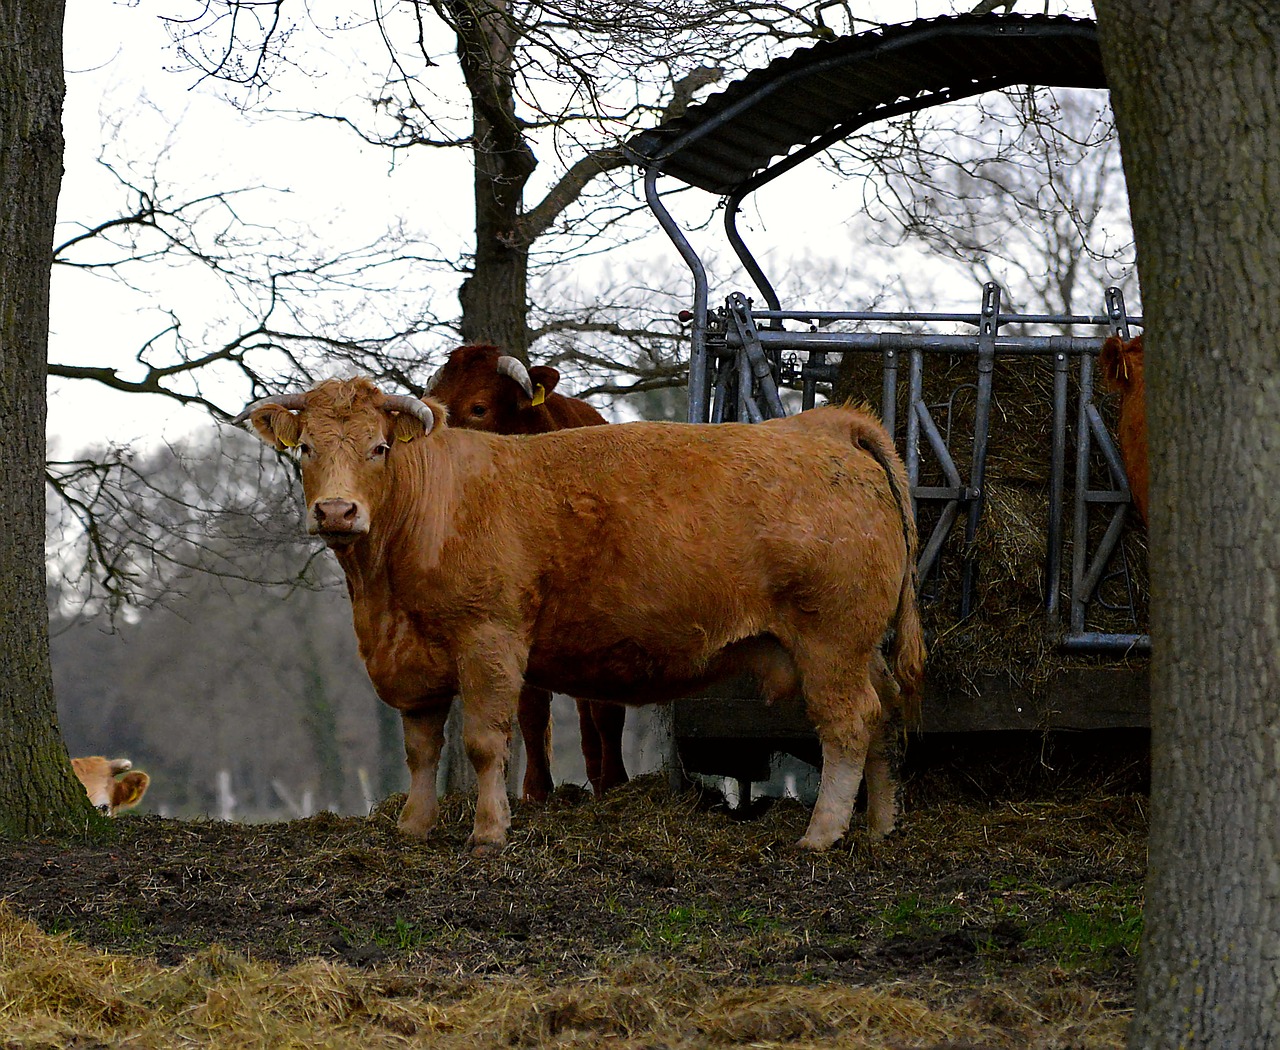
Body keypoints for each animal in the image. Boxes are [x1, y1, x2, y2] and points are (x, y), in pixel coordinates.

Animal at [235, 379, 926, 855]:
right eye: (306, 450)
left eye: (379, 447)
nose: (336, 511)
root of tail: (825, 428)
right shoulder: (413, 661)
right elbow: (421, 748)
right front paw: (414, 827)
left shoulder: (489, 641)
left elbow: (485, 741)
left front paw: (488, 833)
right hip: (859, 644)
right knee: (887, 711)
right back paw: (879, 826)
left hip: (830, 639)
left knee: (849, 723)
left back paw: (823, 833)